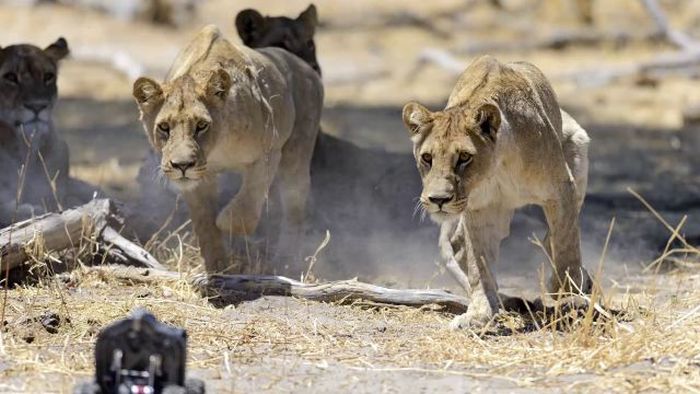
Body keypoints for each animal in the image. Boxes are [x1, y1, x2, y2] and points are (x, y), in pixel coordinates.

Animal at [404, 53, 592, 328]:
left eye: (464, 157)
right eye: (427, 158)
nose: (438, 199)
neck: (496, 168)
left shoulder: (561, 187)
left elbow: (566, 245)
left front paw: (569, 296)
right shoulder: (479, 209)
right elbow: (479, 264)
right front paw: (480, 312)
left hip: (577, 143)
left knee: (555, 235)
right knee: (460, 247)